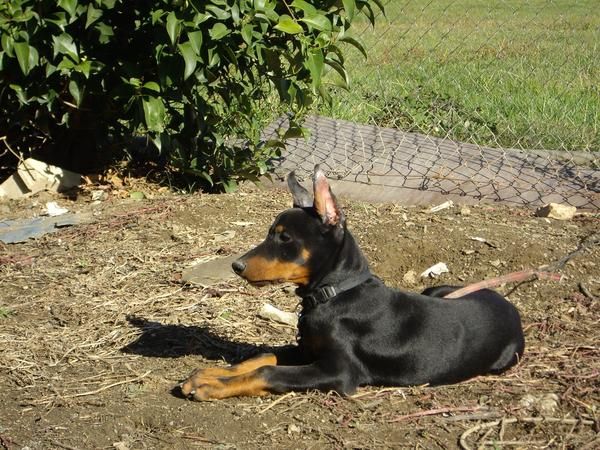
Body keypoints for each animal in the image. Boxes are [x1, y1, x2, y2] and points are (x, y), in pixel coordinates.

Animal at [179, 165, 524, 400]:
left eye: (285, 238)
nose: (236, 266)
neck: (334, 294)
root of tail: (511, 309)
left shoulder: (339, 371)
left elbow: (268, 370)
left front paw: (211, 386)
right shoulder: (307, 351)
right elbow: (262, 356)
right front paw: (209, 374)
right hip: (439, 290)